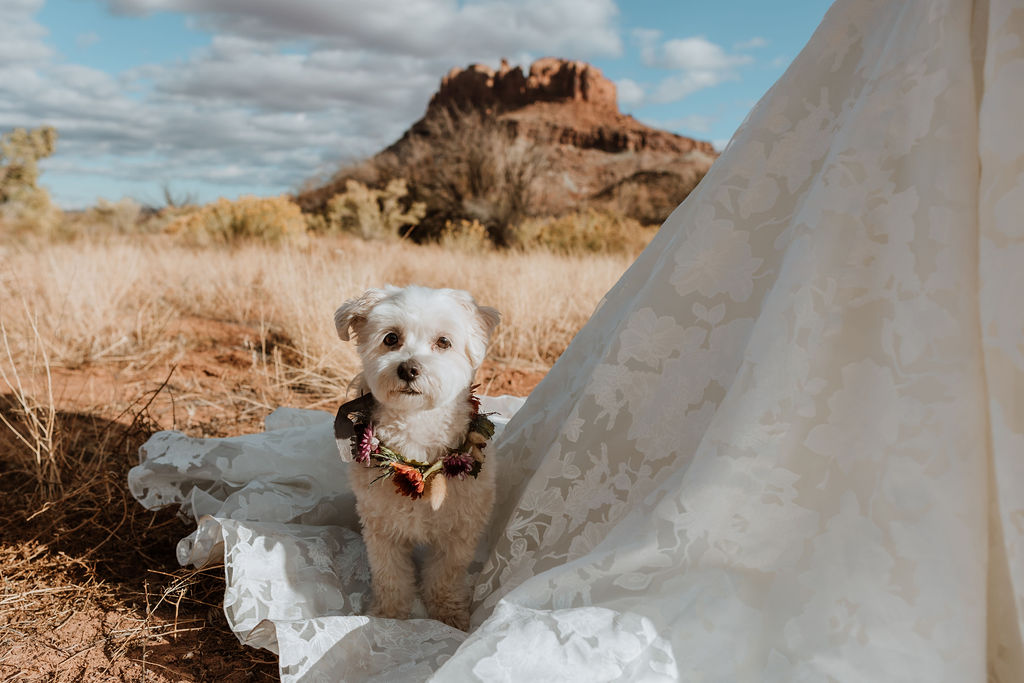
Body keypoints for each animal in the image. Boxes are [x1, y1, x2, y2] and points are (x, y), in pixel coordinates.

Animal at [331, 284, 499, 630]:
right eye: (390, 338)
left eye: (444, 342)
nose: (408, 368)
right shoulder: (382, 530)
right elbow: (390, 576)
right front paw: (389, 617)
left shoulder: (459, 533)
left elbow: (446, 576)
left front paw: (448, 613)